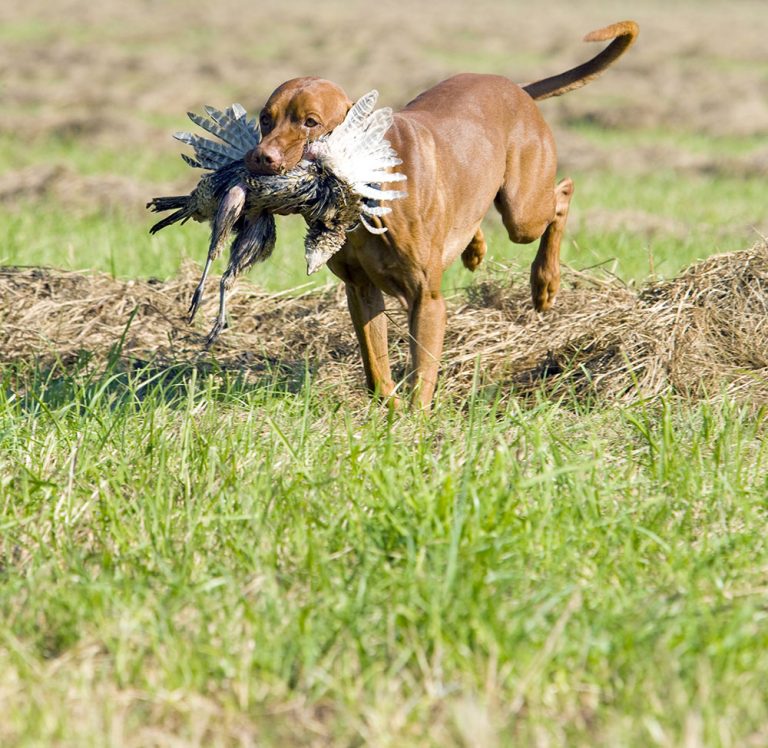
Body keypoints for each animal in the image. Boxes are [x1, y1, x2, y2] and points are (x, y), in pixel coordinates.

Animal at [244, 20, 636, 406]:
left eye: (310, 121)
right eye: (265, 118)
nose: (262, 157)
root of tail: (518, 89)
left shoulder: (426, 299)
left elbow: (422, 373)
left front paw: (415, 419)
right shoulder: (360, 290)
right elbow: (376, 370)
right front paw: (390, 409)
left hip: (523, 210)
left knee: (562, 194)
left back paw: (545, 282)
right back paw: (474, 248)